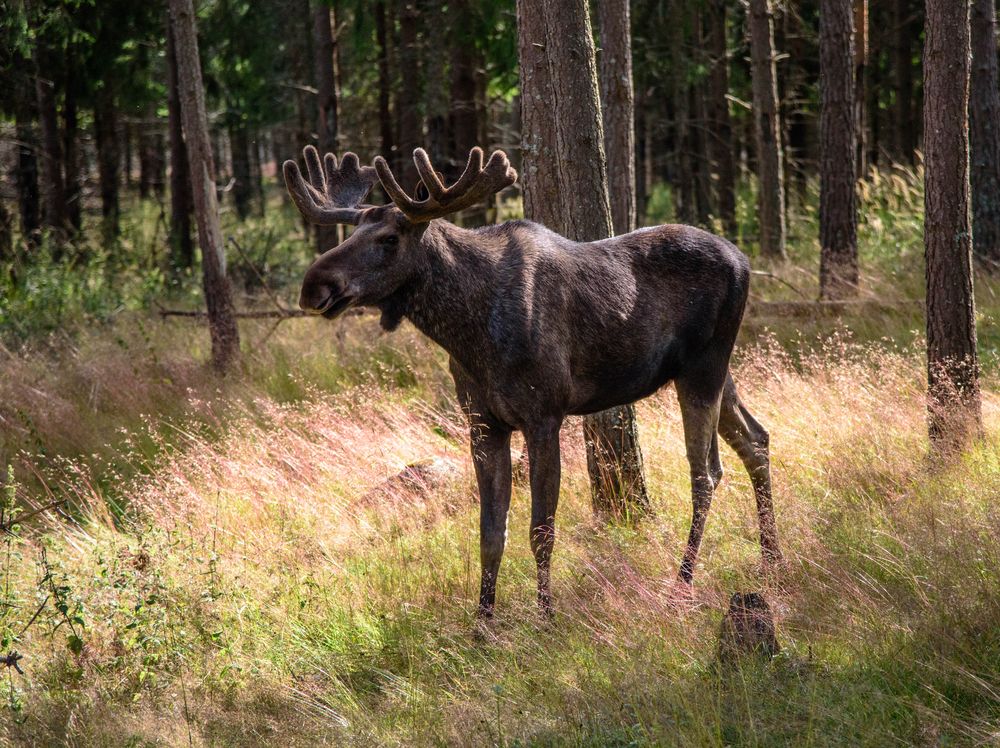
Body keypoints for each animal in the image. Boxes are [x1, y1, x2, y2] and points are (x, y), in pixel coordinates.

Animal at [282, 145, 780, 620]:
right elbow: (490, 531)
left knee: (706, 472)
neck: (467, 330)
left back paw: (683, 583)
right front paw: (483, 624)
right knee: (755, 439)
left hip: (703, 367)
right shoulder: (483, 422)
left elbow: (541, 529)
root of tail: (744, 261)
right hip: (712, 371)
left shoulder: (544, 415)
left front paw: (545, 617)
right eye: (352, 232)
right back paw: (771, 561)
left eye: (389, 238)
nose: (313, 286)